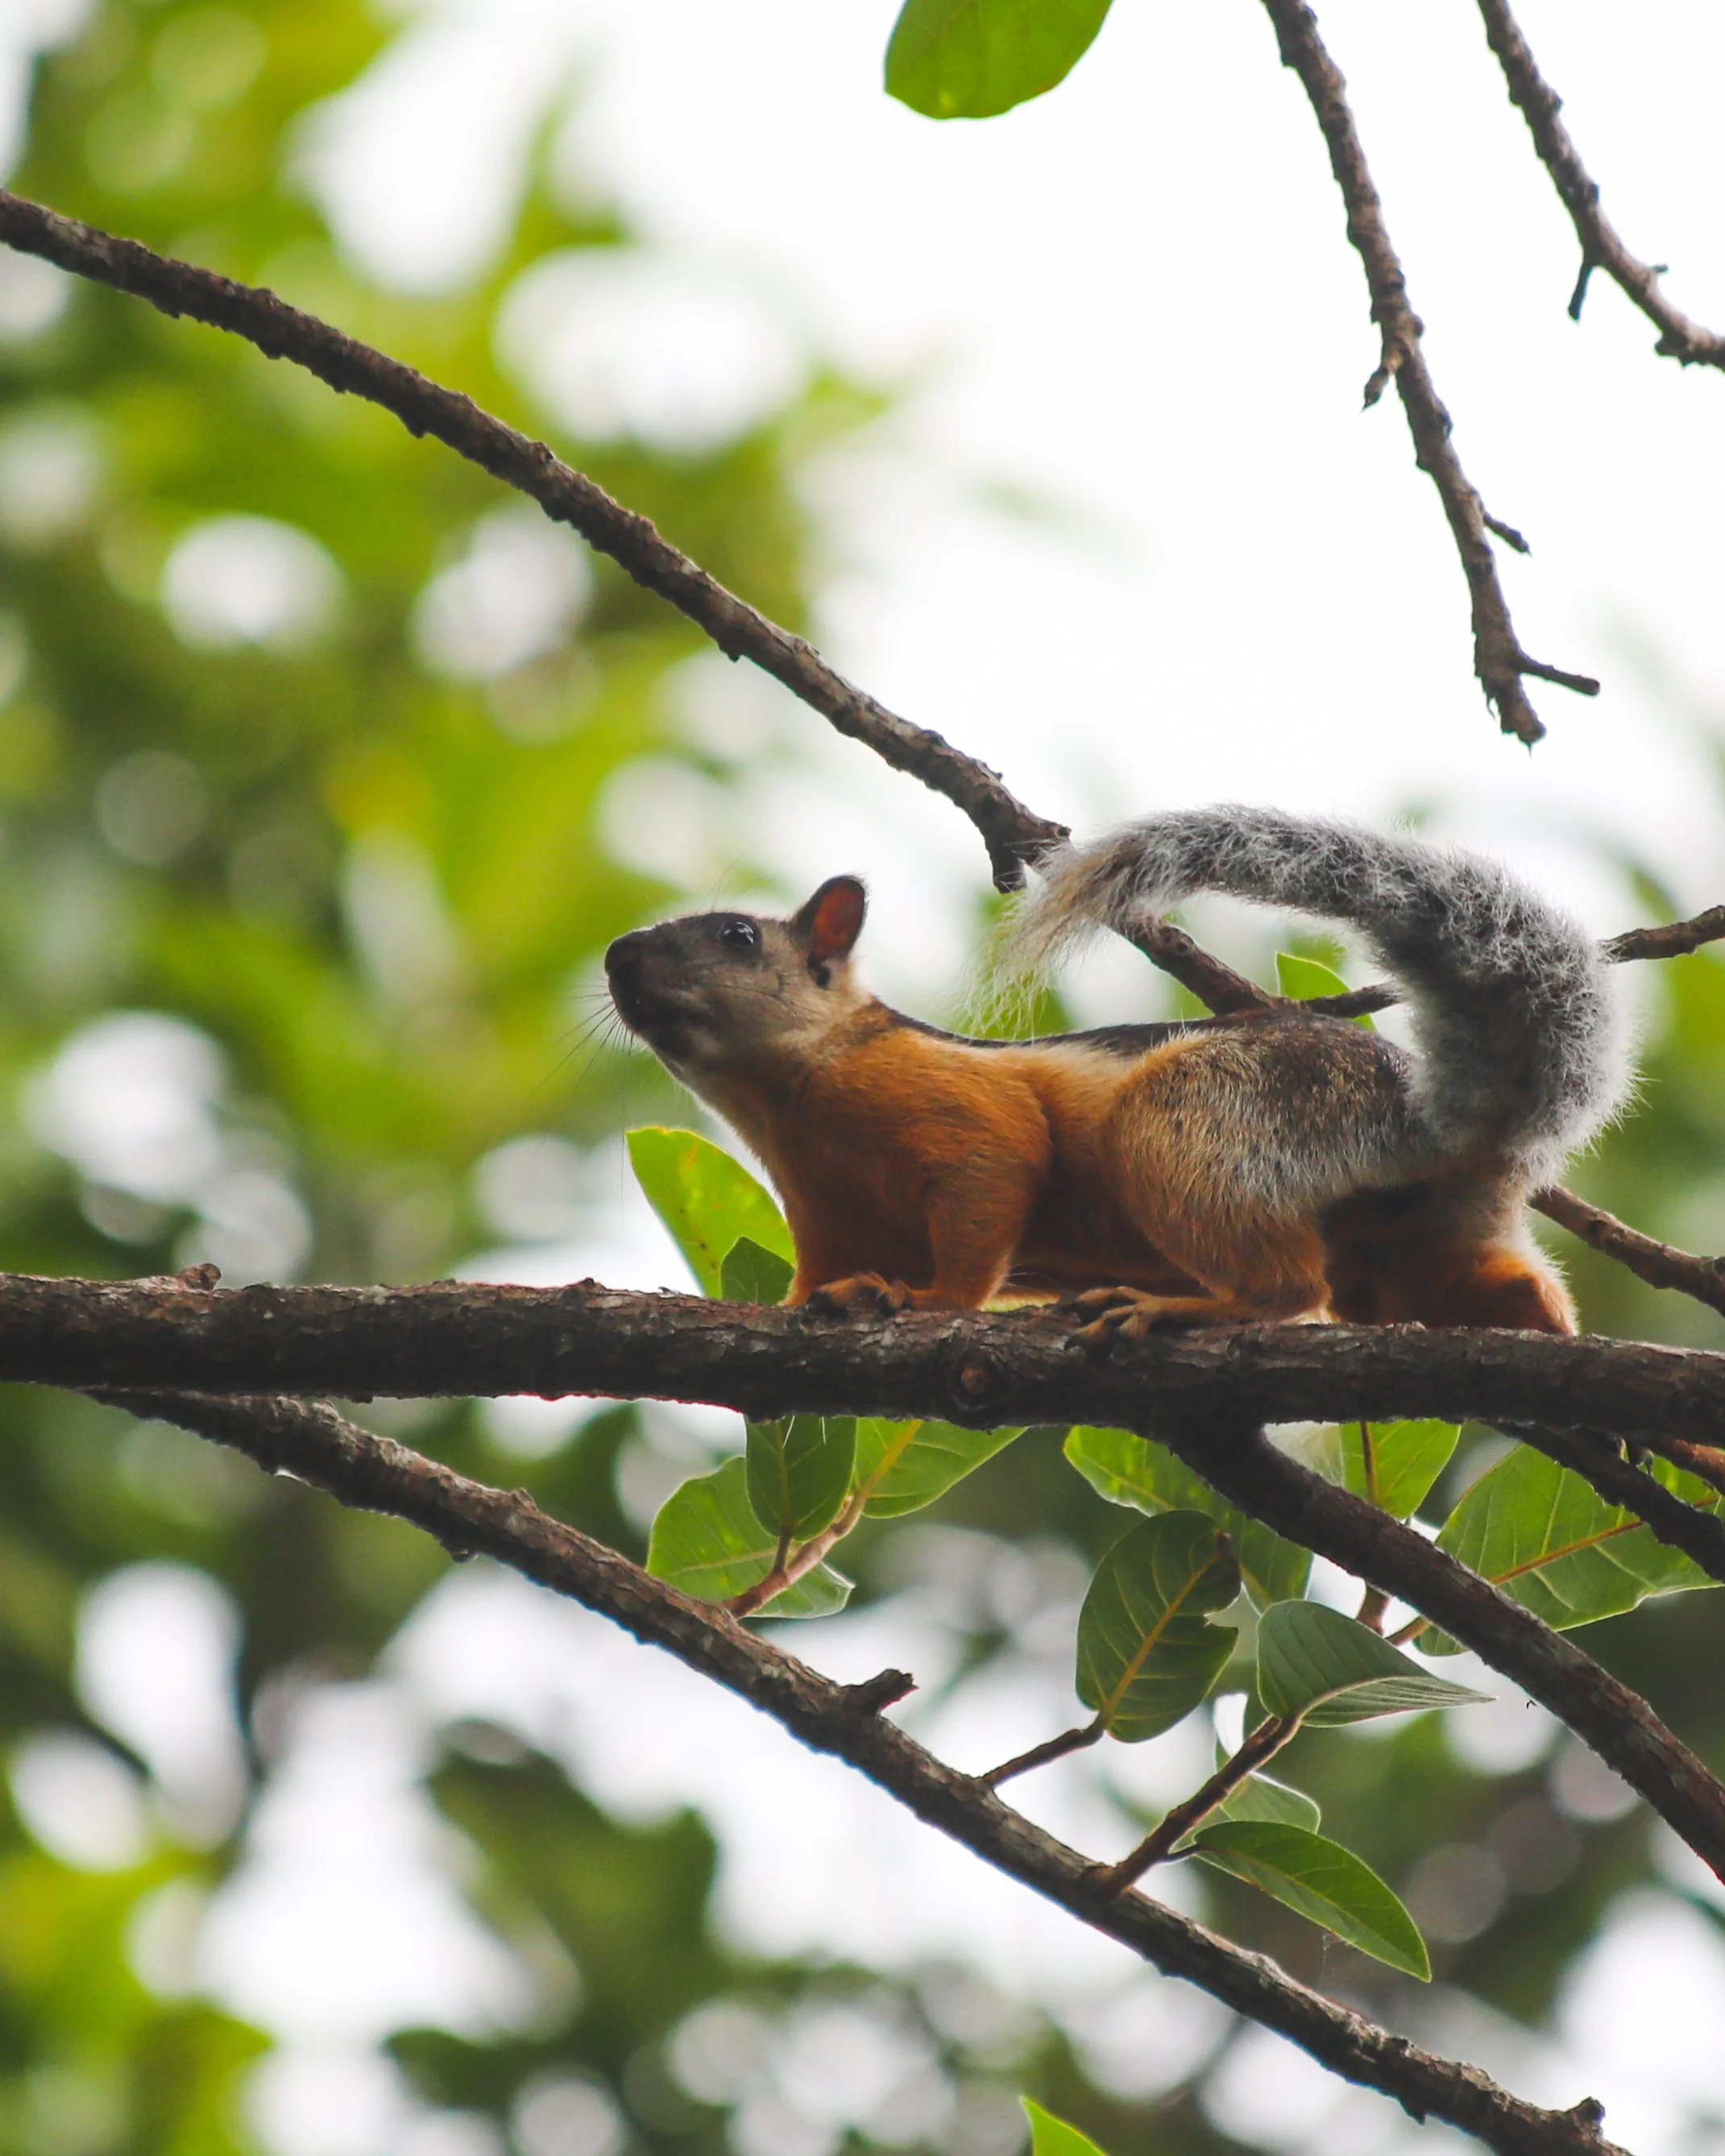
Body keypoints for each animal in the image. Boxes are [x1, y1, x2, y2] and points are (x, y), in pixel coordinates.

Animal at [604, 806, 1626, 1337]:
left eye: (736, 938)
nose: (616, 956)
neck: (787, 1106)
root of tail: (1442, 1125)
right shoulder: (821, 1220)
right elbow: (816, 1278)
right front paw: (824, 1300)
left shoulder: (968, 1111)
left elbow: (991, 1190)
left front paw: (928, 1299)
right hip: (1409, 1255)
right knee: (1481, 1289)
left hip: (1190, 1122)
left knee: (1290, 1291)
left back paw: (1171, 1306)